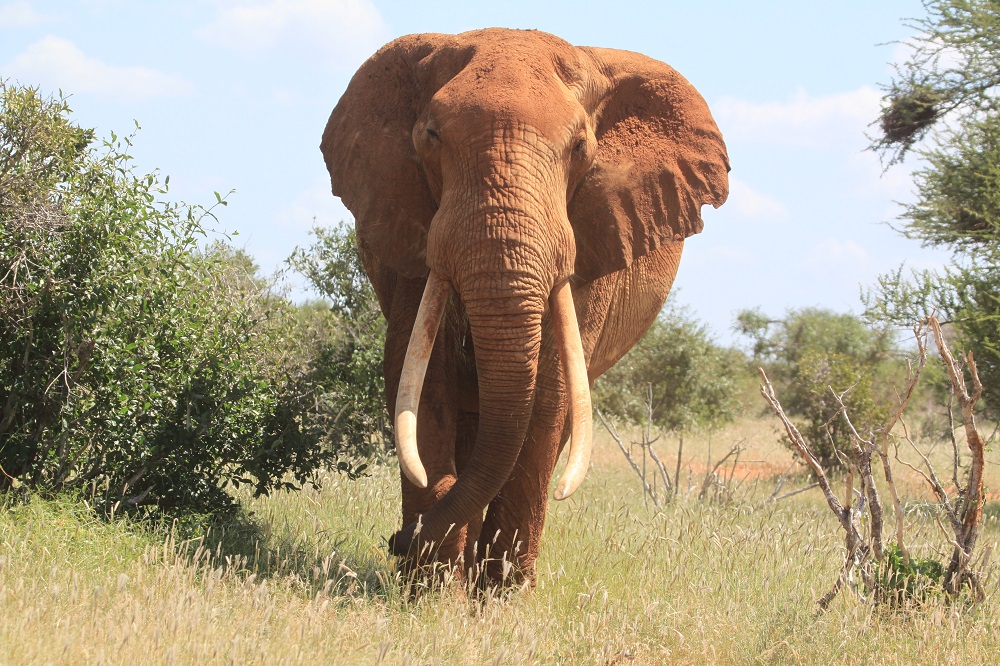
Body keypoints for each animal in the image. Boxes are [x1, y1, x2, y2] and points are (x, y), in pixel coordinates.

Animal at [321, 28, 729, 586]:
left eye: (580, 148)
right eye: (431, 136)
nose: (396, 542)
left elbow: (549, 393)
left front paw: (496, 599)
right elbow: (422, 378)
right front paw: (431, 592)